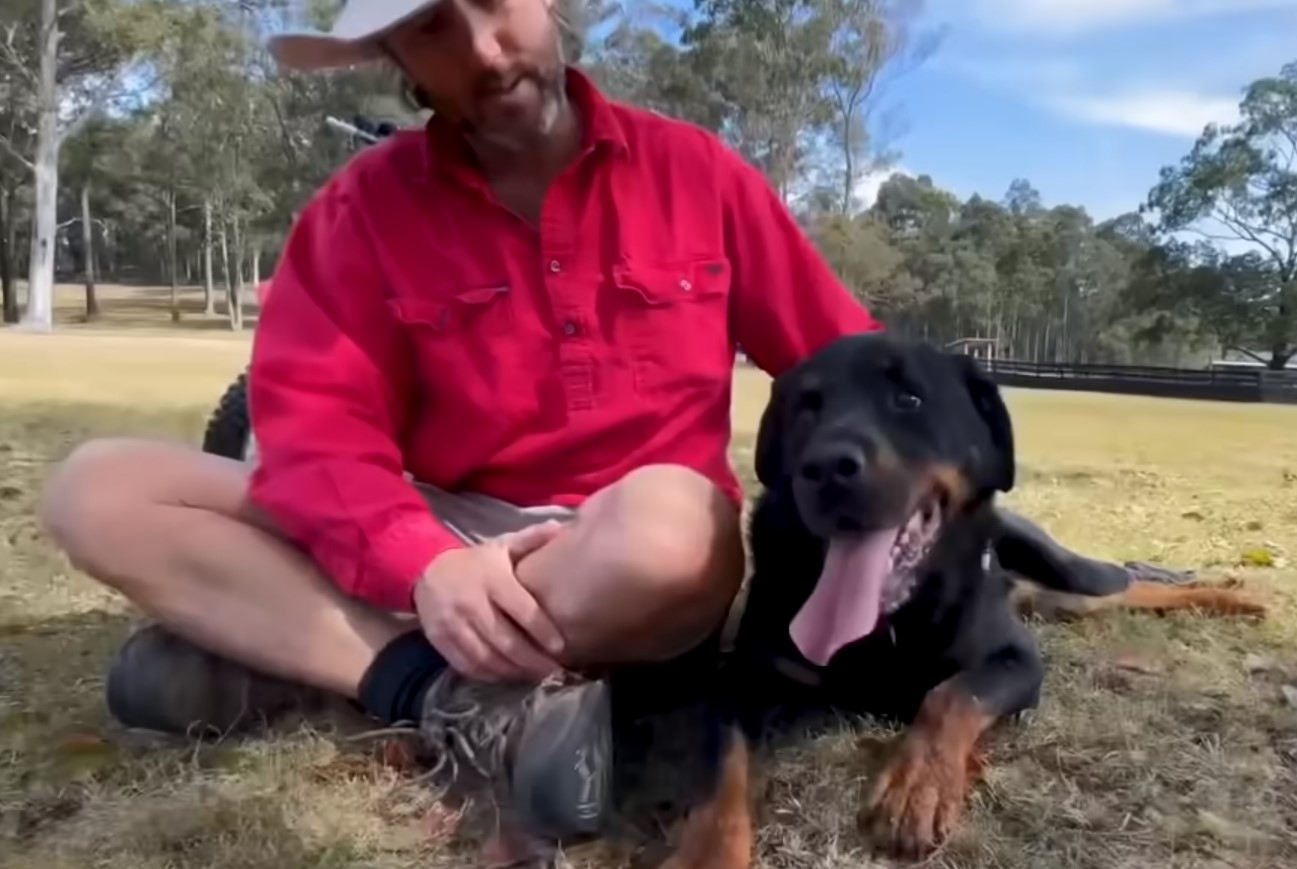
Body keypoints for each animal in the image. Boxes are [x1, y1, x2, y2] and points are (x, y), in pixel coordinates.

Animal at [653, 334, 1260, 869]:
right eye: (806, 408)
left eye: (909, 399)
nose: (825, 467)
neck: (887, 623)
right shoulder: (743, 679)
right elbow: (723, 773)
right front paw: (708, 853)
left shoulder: (1016, 659)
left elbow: (950, 695)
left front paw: (917, 786)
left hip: (1070, 573)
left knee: (1126, 584)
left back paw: (1233, 595)